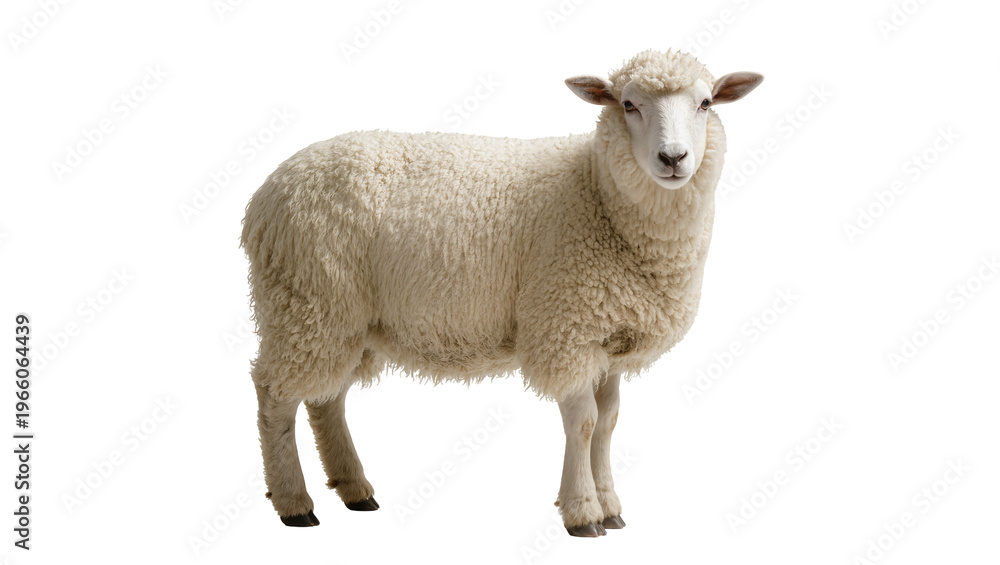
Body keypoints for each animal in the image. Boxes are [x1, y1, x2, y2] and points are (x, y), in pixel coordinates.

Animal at [240, 49, 763, 537]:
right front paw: (582, 512)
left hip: (344, 320)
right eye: (629, 104)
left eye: (706, 103)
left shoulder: (609, 338)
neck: (597, 193)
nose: (673, 159)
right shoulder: (565, 327)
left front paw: (611, 505)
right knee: (274, 396)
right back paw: (294, 503)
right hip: (307, 301)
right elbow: (584, 423)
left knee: (326, 399)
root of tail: (265, 195)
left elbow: (608, 423)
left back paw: (354, 490)